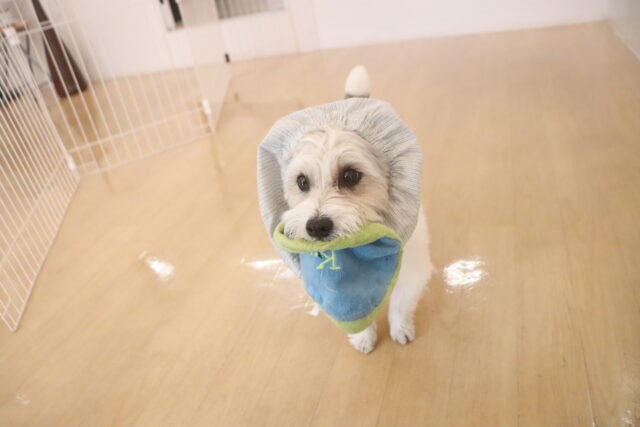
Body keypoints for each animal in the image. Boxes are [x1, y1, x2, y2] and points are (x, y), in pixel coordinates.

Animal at [278, 66, 433, 354]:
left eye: (350, 175)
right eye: (302, 182)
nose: (316, 226)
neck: (356, 251)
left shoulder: (411, 272)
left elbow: (399, 305)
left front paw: (401, 329)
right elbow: (355, 312)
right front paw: (363, 337)